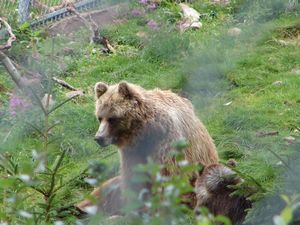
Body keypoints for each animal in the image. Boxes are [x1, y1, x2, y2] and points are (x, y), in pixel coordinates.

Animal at [76, 81, 219, 215]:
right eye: (100, 117)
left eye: (112, 118)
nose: (99, 138)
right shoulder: (132, 151)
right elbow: (134, 177)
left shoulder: (166, 142)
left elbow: (168, 178)